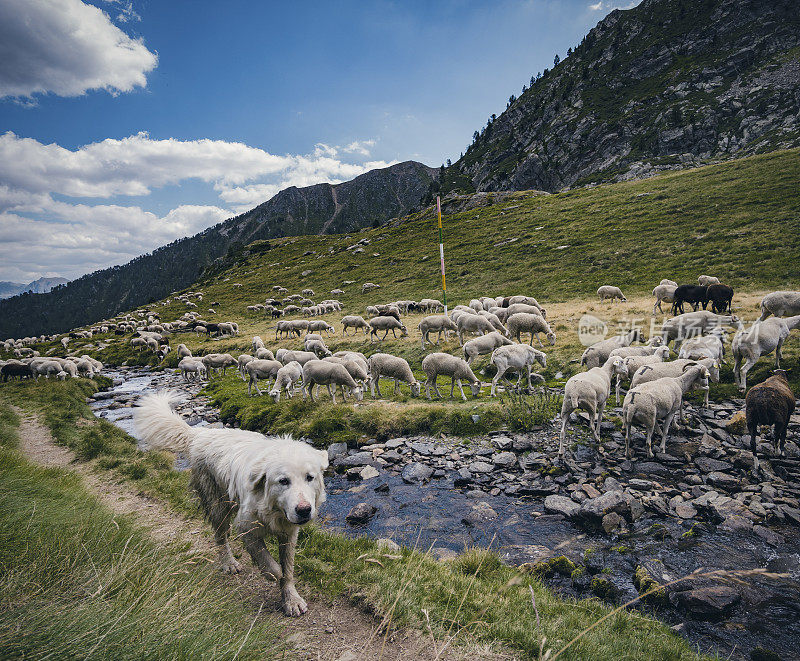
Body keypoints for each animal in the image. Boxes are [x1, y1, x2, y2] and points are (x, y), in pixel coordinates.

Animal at [134, 392, 328, 612]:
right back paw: (228, 563)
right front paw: (272, 573)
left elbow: (288, 569)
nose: (304, 510)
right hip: (218, 505)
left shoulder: (289, 533)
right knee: (220, 536)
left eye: (309, 478)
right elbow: (266, 560)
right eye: (283, 481)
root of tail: (200, 434)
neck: (272, 509)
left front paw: (291, 599)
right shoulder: (244, 526)